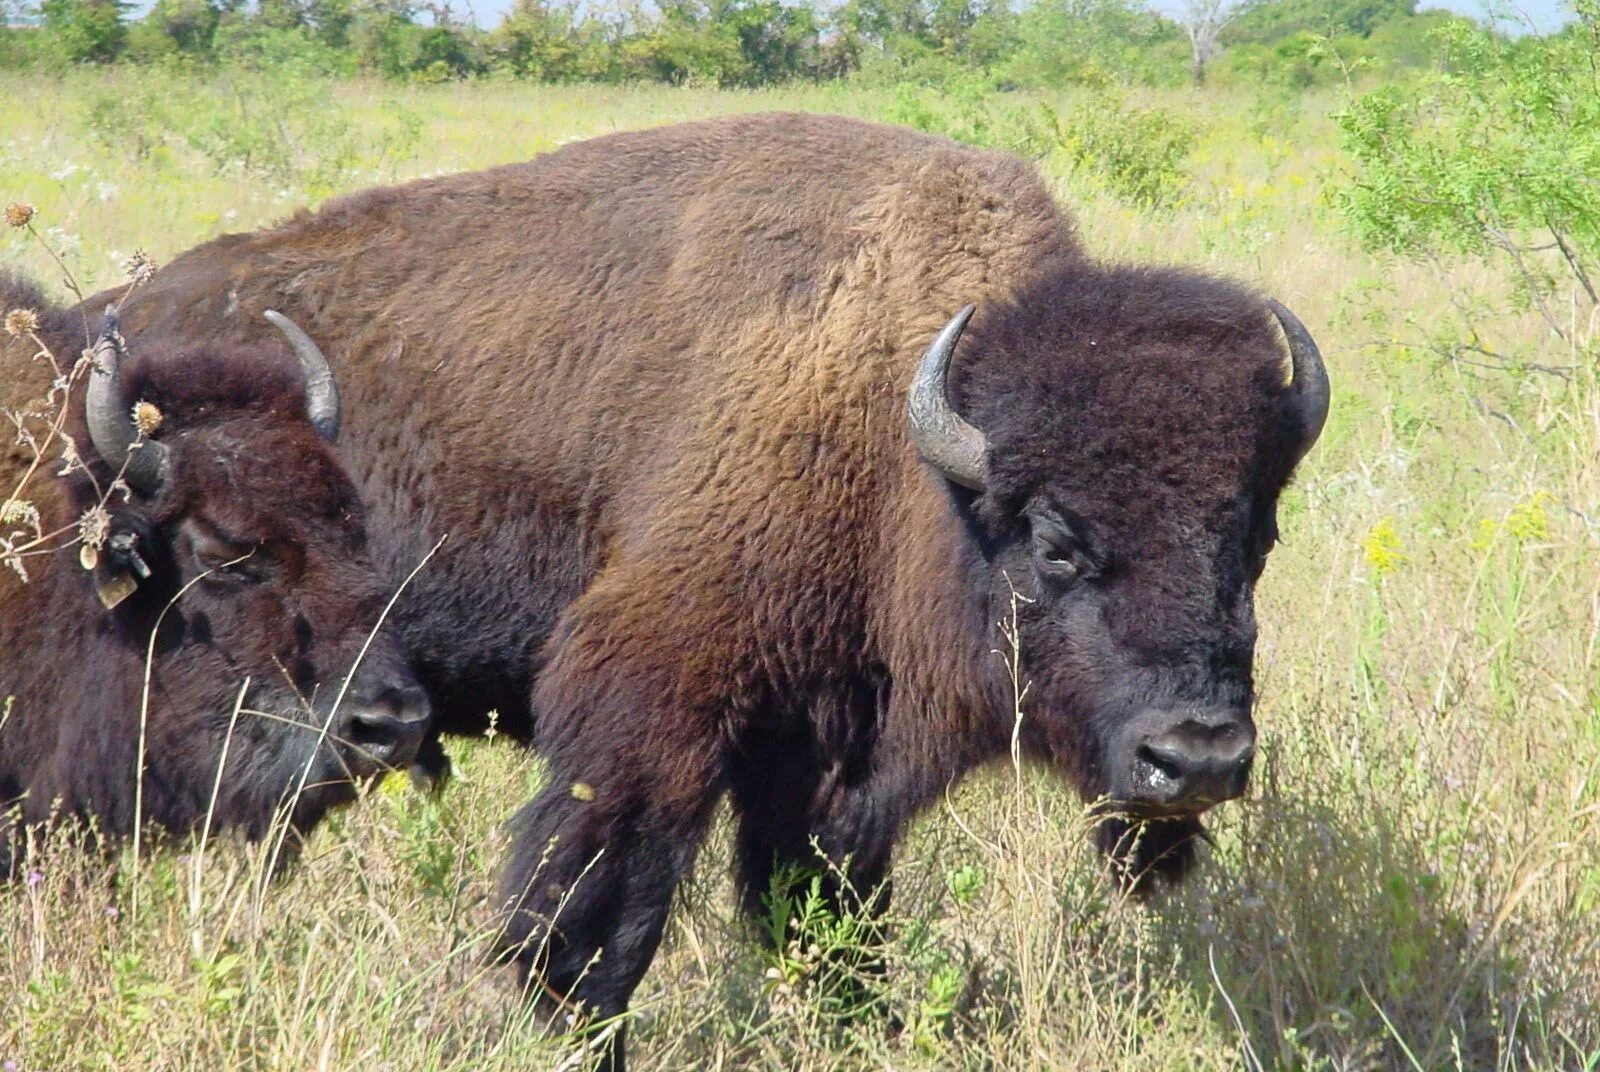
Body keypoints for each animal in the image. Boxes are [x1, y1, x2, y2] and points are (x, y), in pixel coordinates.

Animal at [96, 113, 1324, 1068]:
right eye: (1056, 541)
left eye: (1254, 533)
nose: (1196, 758)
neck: (901, 438)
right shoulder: (651, 708)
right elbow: (599, 919)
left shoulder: (826, 753)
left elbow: (826, 914)